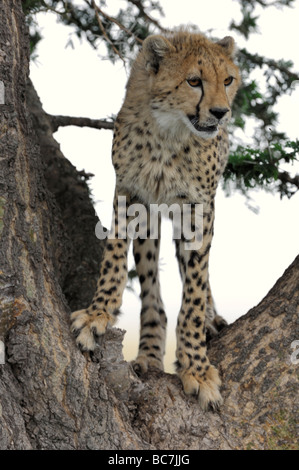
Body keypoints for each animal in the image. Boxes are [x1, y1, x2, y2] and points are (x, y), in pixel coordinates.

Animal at [71, 30, 243, 412]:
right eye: (194, 81)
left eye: (228, 81)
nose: (220, 112)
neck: (170, 133)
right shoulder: (131, 192)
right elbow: (115, 257)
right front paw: (98, 314)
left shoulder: (198, 208)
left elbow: (194, 291)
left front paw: (196, 366)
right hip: (151, 218)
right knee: (151, 286)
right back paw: (149, 353)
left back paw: (209, 319)